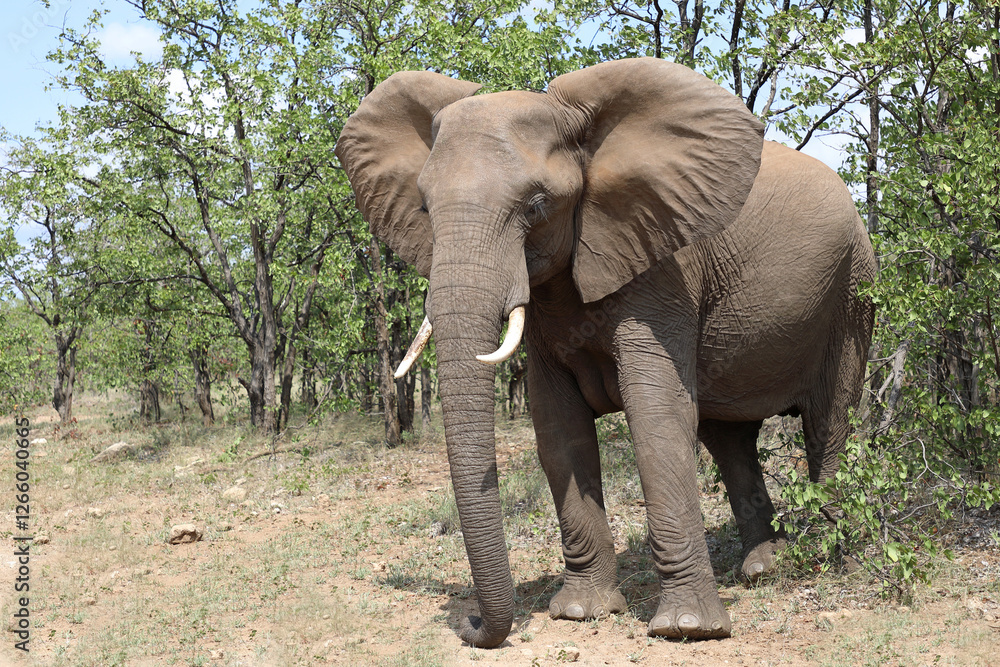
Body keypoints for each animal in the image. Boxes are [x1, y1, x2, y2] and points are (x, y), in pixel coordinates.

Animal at [335, 57, 875, 647]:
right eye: (425, 207)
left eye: (538, 206)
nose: (472, 622)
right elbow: (558, 429)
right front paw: (580, 613)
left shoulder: (663, 269)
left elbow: (656, 416)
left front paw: (687, 630)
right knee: (729, 439)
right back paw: (763, 568)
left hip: (852, 291)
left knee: (828, 423)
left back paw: (829, 560)